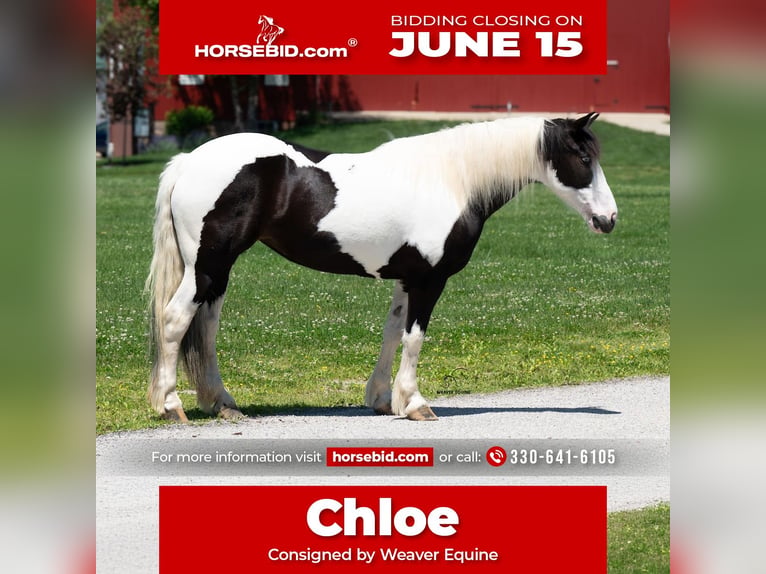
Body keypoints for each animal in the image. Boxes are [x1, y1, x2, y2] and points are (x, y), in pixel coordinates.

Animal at [146, 113, 617, 423]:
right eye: (582, 157)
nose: (609, 219)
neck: (451, 181)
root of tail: (188, 160)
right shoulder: (429, 280)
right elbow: (414, 338)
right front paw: (414, 403)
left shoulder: (406, 279)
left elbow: (392, 333)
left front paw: (382, 399)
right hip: (206, 266)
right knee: (175, 320)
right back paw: (171, 406)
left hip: (217, 271)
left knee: (205, 329)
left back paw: (223, 404)